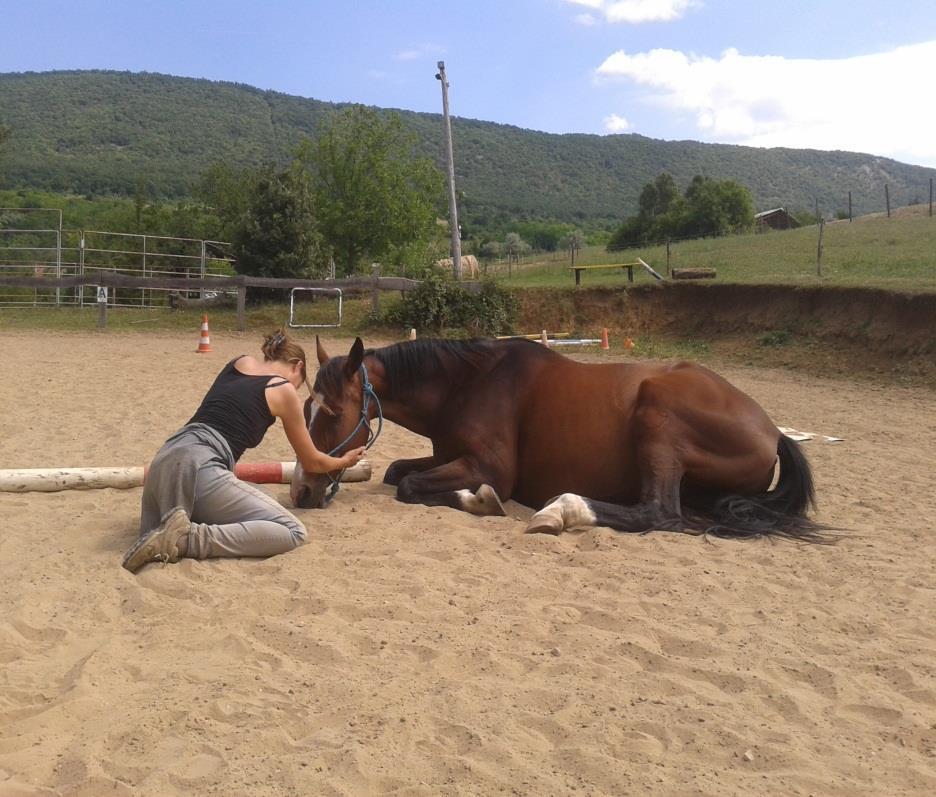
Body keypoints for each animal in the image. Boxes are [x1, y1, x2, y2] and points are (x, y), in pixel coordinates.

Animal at [290, 336, 828, 540]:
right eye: (305, 408)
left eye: (332, 413)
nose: (302, 490)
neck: (469, 382)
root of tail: (772, 430)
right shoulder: (447, 454)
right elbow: (397, 471)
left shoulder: (489, 466)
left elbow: (407, 485)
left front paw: (482, 500)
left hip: (658, 415)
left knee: (659, 513)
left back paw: (562, 510)